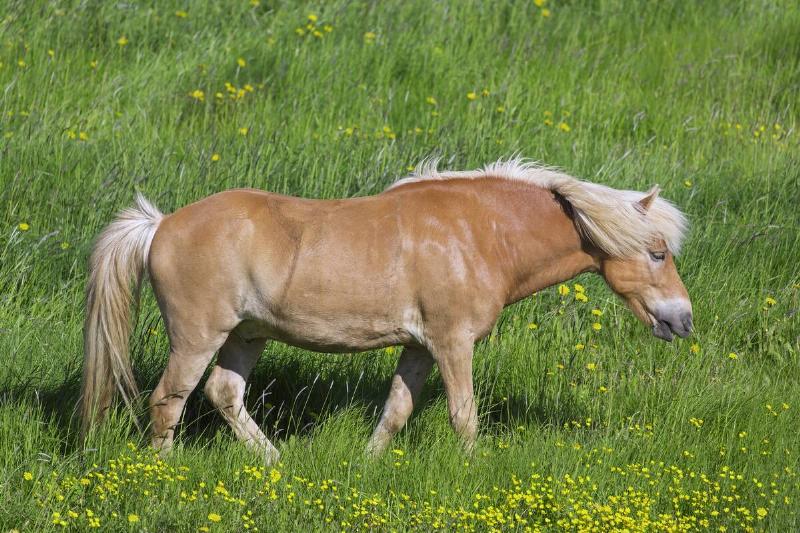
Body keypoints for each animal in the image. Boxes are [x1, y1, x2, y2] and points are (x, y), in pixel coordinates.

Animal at [80, 158, 692, 463]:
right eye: (657, 252)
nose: (682, 319)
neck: (479, 234)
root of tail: (160, 224)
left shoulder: (419, 347)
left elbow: (397, 411)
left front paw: (369, 465)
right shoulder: (452, 342)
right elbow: (464, 414)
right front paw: (471, 471)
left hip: (246, 335)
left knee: (223, 394)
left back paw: (275, 461)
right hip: (198, 336)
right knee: (168, 400)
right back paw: (165, 470)